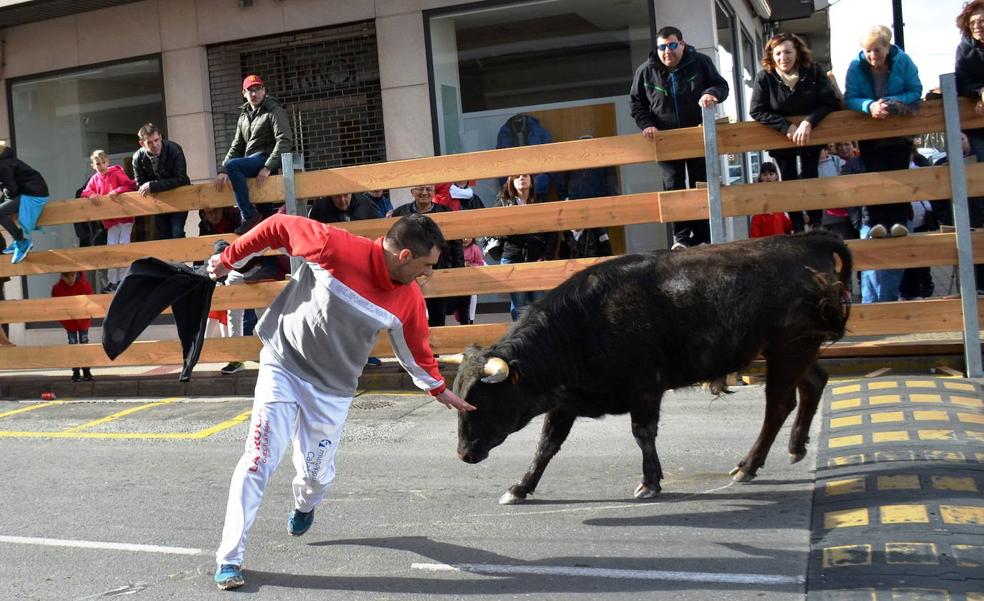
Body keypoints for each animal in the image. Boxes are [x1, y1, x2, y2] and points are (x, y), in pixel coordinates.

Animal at [450, 232, 848, 504]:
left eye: (481, 403)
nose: (464, 454)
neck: (583, 323)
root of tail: (807, 240)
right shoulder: (565, 402)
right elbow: (546, 444)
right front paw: (521, 486)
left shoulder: (644, 391)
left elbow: (643, 434)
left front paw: (650, 481)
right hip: (795, 349)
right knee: (813, 383)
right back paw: (795, 446)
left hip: (789, 348)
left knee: (778, 405)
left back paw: (748, 465)